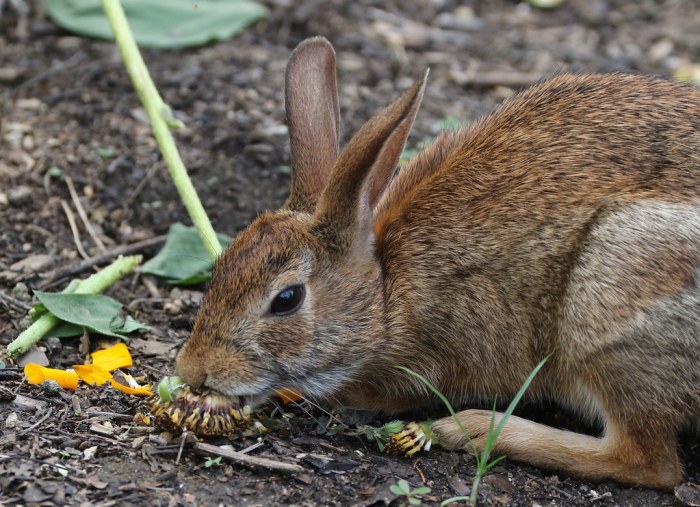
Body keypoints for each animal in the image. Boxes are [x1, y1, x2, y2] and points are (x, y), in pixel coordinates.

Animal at [175, 37, 700, 490]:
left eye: (286, 299)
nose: (193, 371)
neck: (389, 293)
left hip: (609, 310)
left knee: (648, 462)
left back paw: (469, 428)